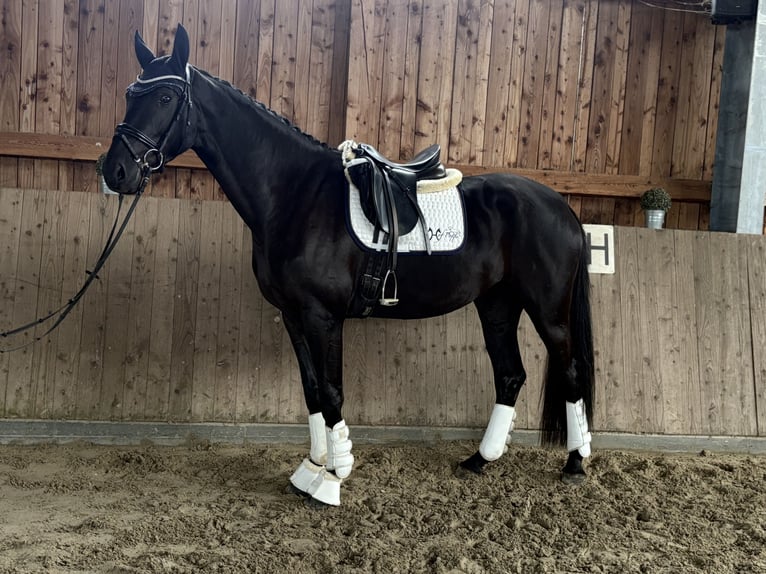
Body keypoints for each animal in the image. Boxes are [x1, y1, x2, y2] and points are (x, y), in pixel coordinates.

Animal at [103, 24, 595, 507]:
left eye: (166, 97)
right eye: (129, 92)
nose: (115, 171)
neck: (294, 194)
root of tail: (560, 206)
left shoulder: (323, 317)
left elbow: (332, 391)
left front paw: (333, 480)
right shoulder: (293, 316)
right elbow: (312, 390)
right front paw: (311, 469)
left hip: (548, 311)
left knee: (569, 370)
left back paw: (575, 462)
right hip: (497, 305)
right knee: (510, 374)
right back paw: (480, 460)